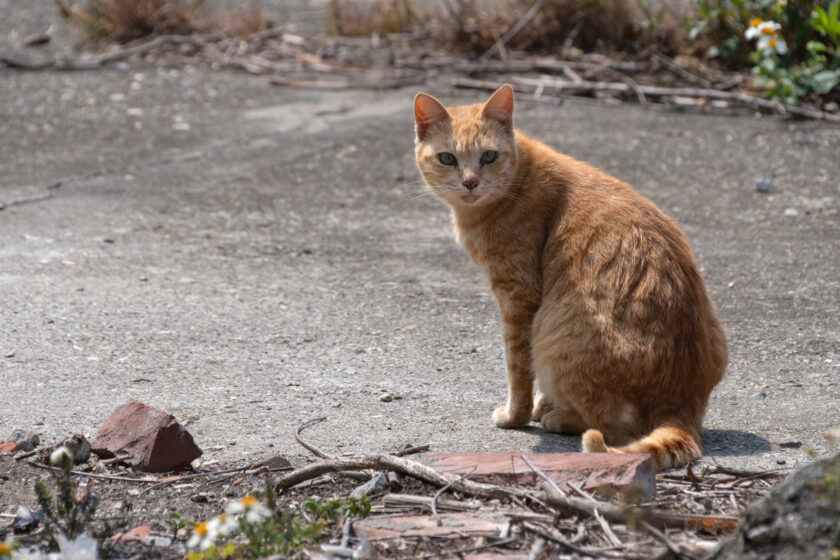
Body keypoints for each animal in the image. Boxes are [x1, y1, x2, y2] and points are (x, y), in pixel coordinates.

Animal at [416, 84, 728, 468]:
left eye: (488, 156)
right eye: (447, 159)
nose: (470, 182)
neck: (520, 178)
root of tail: (680, 404)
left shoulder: (518, 298)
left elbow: (517, 368)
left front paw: (516, 415)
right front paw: (541, 404)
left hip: (552, 336)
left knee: (615, 426)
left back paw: (562, 418)